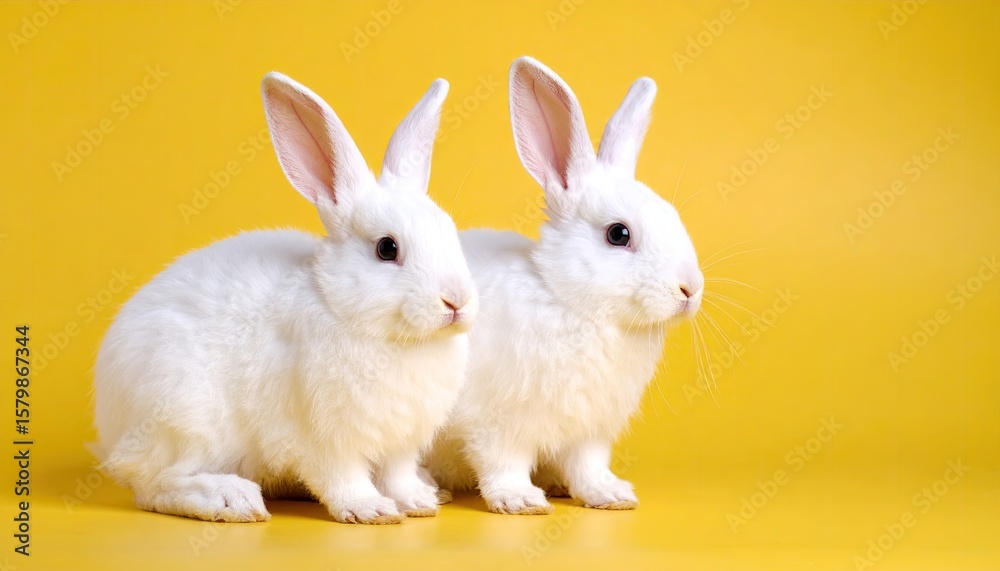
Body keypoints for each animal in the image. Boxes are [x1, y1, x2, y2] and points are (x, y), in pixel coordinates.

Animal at [93, 71, 478, 525]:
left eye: (449, 231)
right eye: (387, 248)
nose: (456, 301)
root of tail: (109, 421)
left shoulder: (401, 441)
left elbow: (397, 474)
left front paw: (417, 502)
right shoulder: (322, 437)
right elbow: (342, 476)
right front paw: (369, 509)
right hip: (184, 418)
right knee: (156, 485)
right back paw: (231, 499)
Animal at [424, 57, 703, 514]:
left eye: (673, 216)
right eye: (618, 234)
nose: (690, 289)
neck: (571, 301)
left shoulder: (589, 431)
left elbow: (587, 466)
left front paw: (611, 495)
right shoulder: (496, 423)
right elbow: (502, 461)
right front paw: (519, 501)